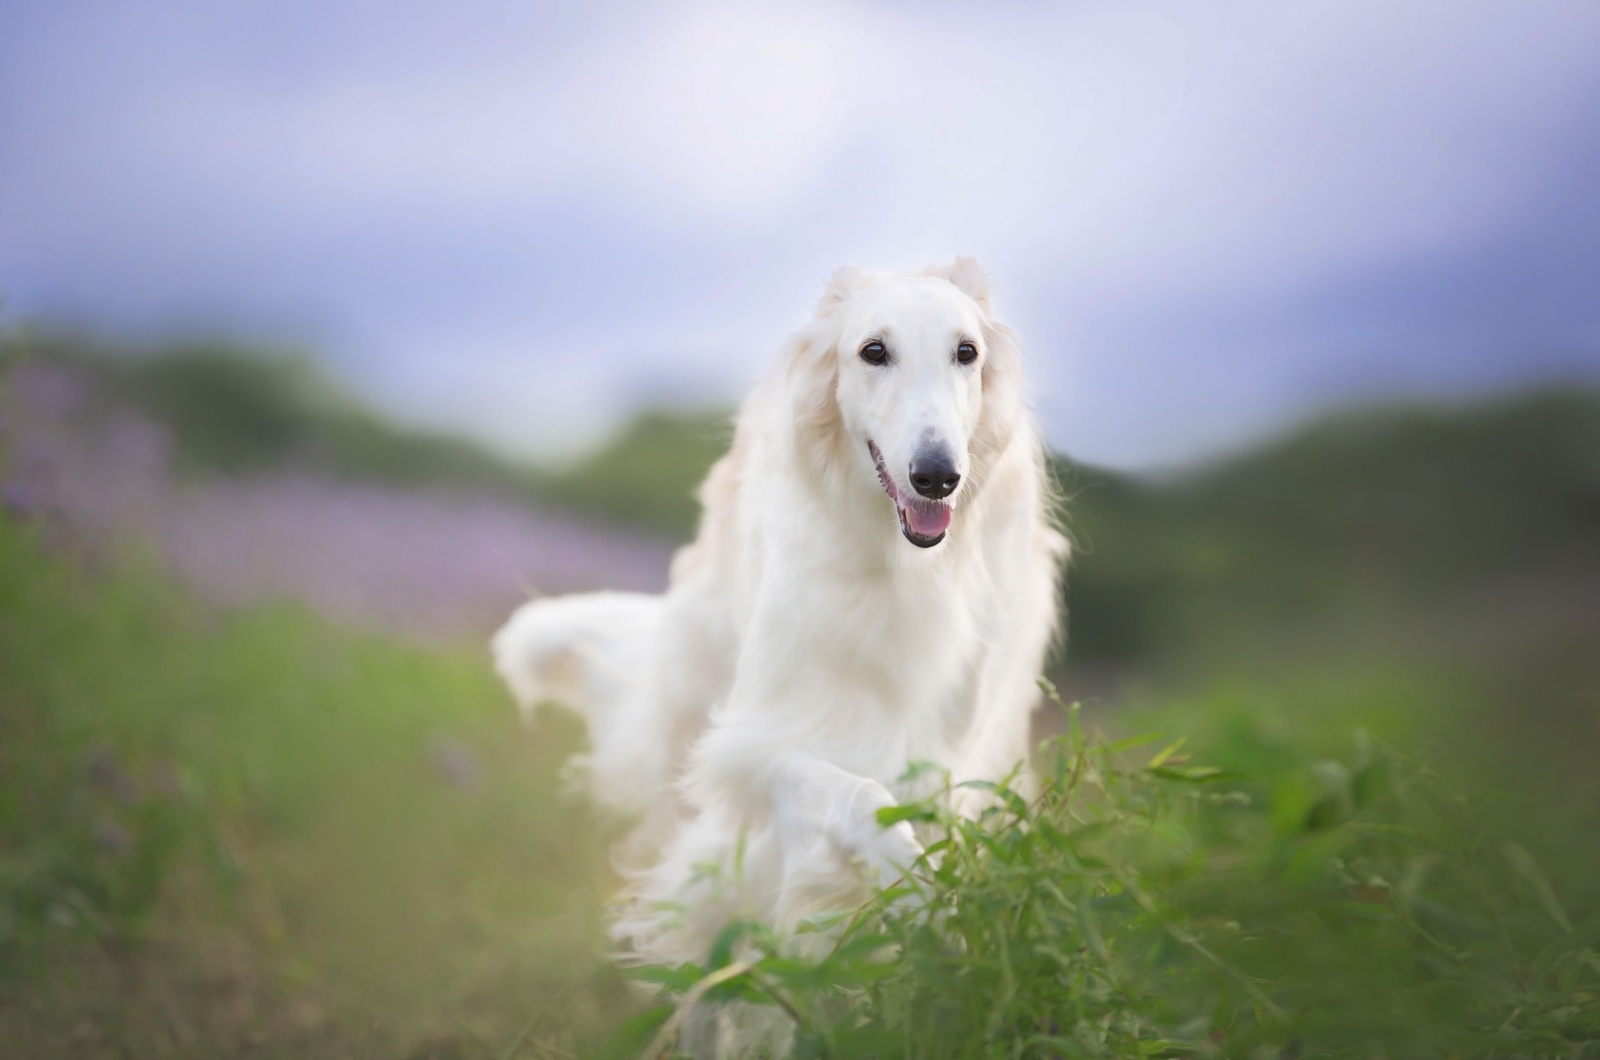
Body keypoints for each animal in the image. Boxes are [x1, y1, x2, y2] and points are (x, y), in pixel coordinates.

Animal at [492, 260, 1068, 973]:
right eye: (873, 351)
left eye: (967, 352)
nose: (938, 476)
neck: (902, 571)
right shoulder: (752, 747)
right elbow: (862, 800)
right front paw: (913, 893)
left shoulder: (951, 757)